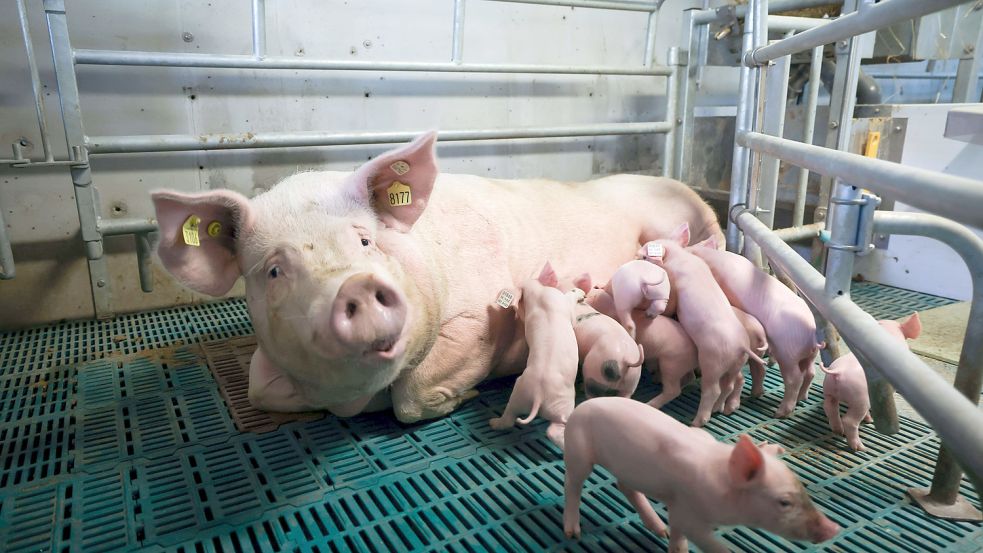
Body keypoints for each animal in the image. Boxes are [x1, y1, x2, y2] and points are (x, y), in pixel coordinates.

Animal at [152, 132, 724, 420]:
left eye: (365, 241)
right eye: (274, 269)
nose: (355, 284)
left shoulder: (473, 322)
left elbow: (412, 397)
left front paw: (463, 399)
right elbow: (256, 392)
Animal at [564, 396, 840, 548]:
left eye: (803, 488)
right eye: (784, 502)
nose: (833, 529)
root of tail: (581, 406)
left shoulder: (677, 509)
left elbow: (677, 538)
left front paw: (669, 538)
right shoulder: (689, 513)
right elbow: (711, 545)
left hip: (627, 468)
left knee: (625, 486)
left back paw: (659, 529)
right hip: (578, 451)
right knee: (573, 485)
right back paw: (573, 533)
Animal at [684, 233, 824, 418]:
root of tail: (812, 336)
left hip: (787, 353)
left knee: (794, 378)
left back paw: (780, 413)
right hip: (809, 356)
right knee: (810, 373)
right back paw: (801, 398)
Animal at [828, 312, 928, 450]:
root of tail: (838, 371)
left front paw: (869, 420)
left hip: (829, 391)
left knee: (831, 410)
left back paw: (839, 431)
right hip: (860, 398)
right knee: (849, 421)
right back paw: (860, 448)